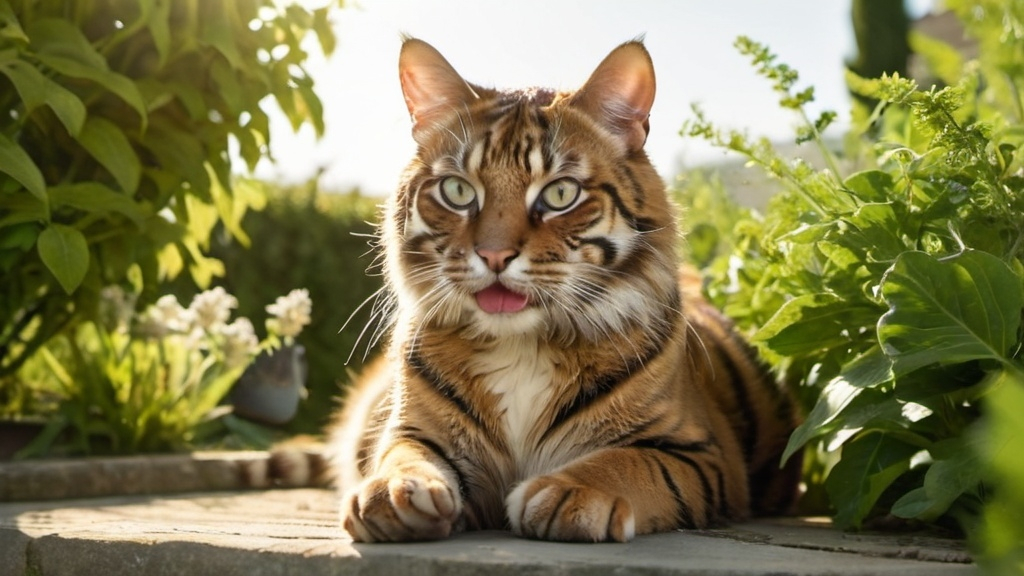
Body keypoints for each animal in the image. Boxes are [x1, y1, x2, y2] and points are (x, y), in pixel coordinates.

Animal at [327, 38, 798, 541]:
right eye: (457, 190)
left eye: (559, 195)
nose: (494, 256)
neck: (519, 346)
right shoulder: (417, 429)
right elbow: (403, 454)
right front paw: (393, 491)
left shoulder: (699, 452)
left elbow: (628, 462)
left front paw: (569, 493)